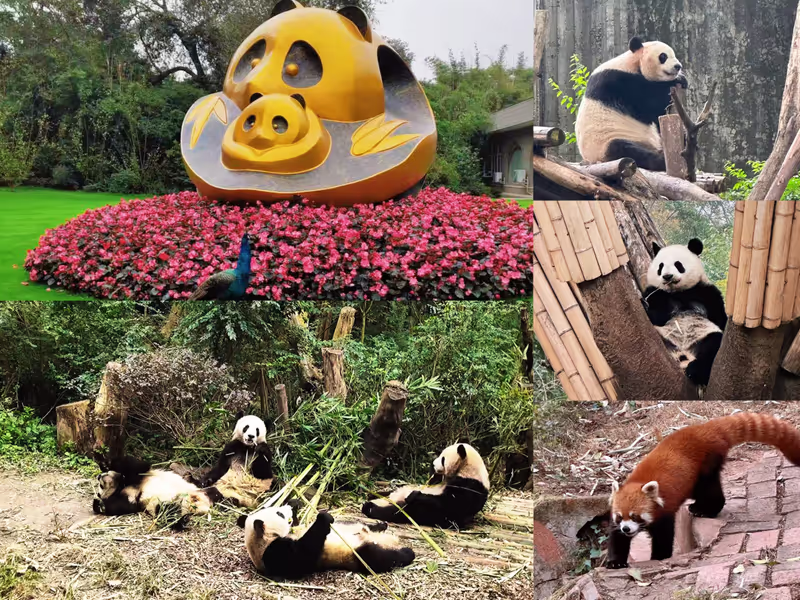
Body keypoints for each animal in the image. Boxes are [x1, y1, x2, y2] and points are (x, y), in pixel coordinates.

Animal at [93, 455, 223, 529]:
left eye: (100, 485)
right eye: (99, 489)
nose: (99, 476)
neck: (121, 486)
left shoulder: (139, 476)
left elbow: (137, 466)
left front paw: (107, 463)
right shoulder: (131, 499)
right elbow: (120, 506)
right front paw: (99, 504)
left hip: (199, 489)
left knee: (213, 490)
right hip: (166, 504)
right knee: (166, 511)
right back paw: (181, 521)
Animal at [236, 503, 415, 579]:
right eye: (279, 514)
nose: (287, 508)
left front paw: (295, 503)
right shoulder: (274, 553)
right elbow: (302, 556)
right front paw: (323, 517)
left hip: (353, 526)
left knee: (362, 526)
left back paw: (380, 525)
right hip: (354, 554)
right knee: (377, 558)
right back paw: (407, 553)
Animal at [361, 443, 490, 529]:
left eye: (443, 459)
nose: (434, 464)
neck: (466, 469)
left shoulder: (471, 486)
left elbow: (450, 504)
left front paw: (414, 495)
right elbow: (432, 481)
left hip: (424, 512)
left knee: (403, 511)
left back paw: (370, 508)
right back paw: (372, 495)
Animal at [575, 36, 688, 171]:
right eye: (663, 56)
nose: (678, 66)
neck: (633, 64)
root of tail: (591, 161)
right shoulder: (620, 83)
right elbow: (650, 103)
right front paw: (677, 80)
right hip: (606, 142)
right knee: (625, 149)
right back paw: (661, 161)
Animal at [644, 238, 727, 386]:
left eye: (678, 265)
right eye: (660, 267)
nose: (667, 276)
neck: (680, 292)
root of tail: (682, 355)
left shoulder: (708, 294)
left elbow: (720, 318)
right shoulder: (655, 293)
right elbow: (656, 315)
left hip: (702, 338)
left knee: (713, 344)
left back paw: (695, 371)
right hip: (662, 337)